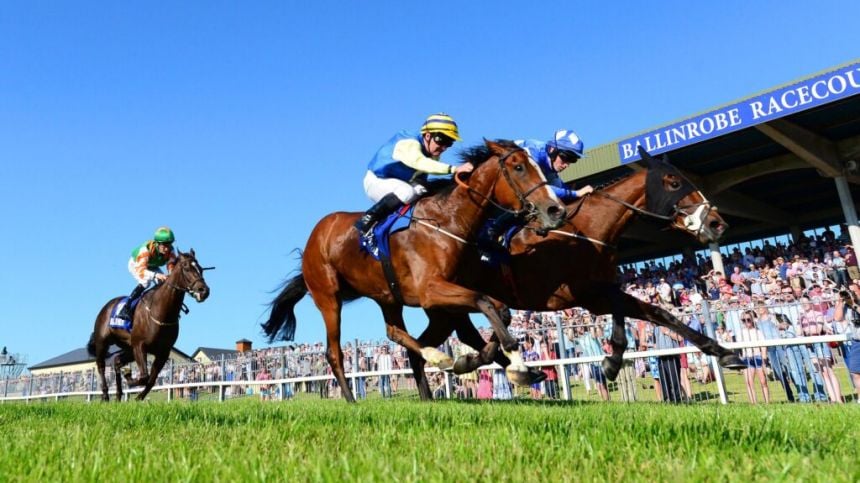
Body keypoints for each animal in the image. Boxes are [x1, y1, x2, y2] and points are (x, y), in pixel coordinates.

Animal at [86, 251, 211, 402]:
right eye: (187, 268)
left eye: (201, 269)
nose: (204, 291)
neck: (161, 312)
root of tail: (107, 307)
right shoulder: (140, 346)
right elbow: (144, 377)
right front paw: (129, 378)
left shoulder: (163, 352)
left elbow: (151, 380)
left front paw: (138, 396)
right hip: (102, 342)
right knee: (101, 366)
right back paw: (105, 395)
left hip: (128, 347)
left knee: (117, 361)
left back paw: (118, 395)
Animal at [266, 141, 568, 404]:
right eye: (519, 167)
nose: (556, 210)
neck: (448, 221)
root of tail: (314, 238)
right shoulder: (430, 292)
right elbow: (485, 304)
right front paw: (508, 360)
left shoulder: (448, 297)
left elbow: (497, 312)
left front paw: (510, 365)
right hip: (329, 298)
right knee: (334, 352)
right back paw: (355, 398)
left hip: (388, 297)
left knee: (394, 332)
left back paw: (437, 363)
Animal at [406, 147, 748, 400]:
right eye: (674, 182)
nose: (718, 223)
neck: (585, 232)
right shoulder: (573, 295)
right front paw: (611, 360)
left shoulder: (595, 293)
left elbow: (658, 313)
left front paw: (725, 353)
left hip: (444, 308)